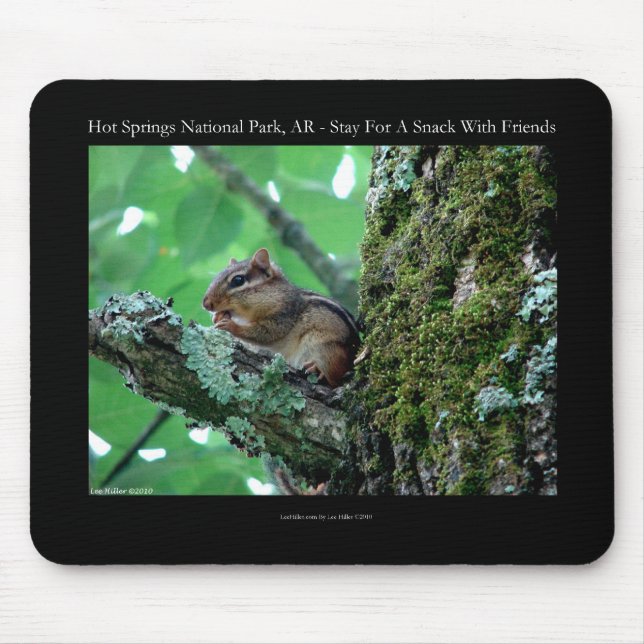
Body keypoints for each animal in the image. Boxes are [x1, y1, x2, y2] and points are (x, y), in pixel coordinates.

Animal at [202, 248, 360, 387]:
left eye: (238, 280)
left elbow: (267, 333)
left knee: (335, 377)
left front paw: (231, 325)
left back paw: (318, 369)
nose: (206, 304)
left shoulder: (284, 315)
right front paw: (217, 317)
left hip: (325, 349)